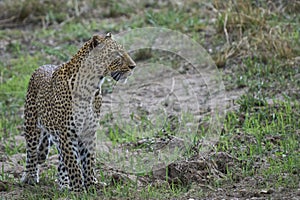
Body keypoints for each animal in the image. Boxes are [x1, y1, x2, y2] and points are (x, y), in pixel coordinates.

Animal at [21, 33, 137, 192]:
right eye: (116, 55)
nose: (133, 66)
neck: (92, 86)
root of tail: (42, 66)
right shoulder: (66, 133)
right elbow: (73, 164)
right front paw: (79, 189)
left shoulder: (88, 131)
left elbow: (88, 160)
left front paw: (92, 184)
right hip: (32, 124)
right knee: (32, 152)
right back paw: (30, 177)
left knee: (61, 161)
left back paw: (64, 185)